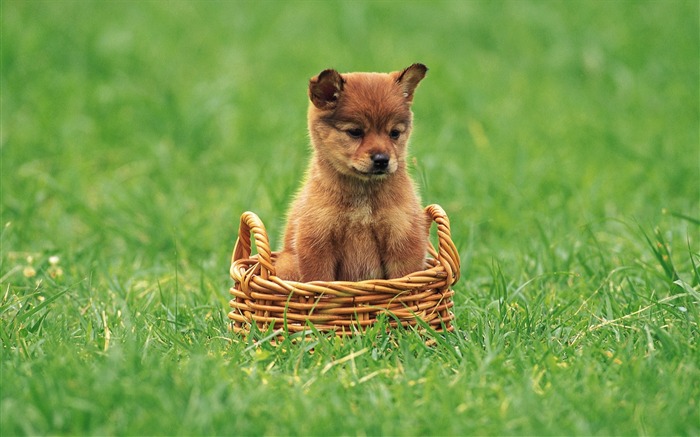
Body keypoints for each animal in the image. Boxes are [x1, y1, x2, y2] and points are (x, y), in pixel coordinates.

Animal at [274, 63, 430, 282]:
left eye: (394, 133)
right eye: (355, 132)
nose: (382, 160)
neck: (362, 196)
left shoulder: (403, 239)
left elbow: (404, 280)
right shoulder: (316, 242)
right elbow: (321, 281)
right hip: (287, 265)